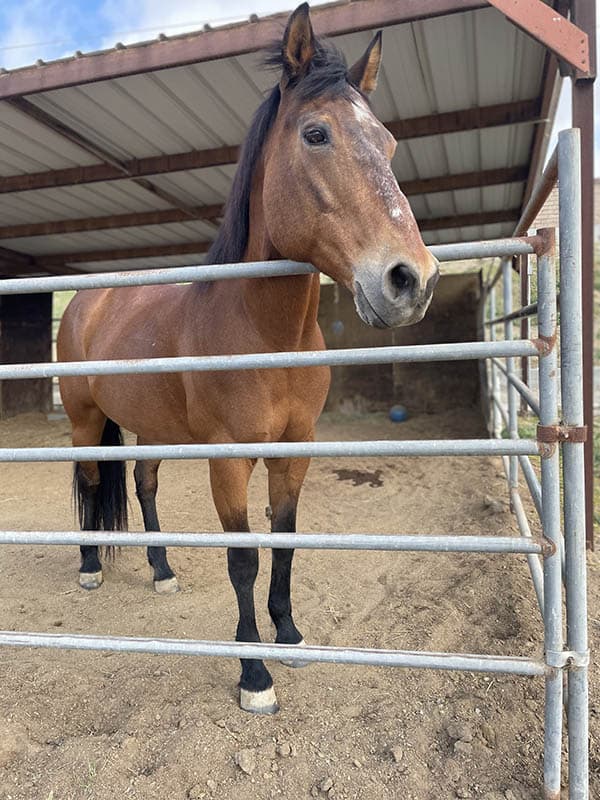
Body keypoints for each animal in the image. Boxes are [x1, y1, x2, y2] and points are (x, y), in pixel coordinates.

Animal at [57, 2, 439, 715]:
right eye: (316, 134)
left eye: (389, 144)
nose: (412, 280)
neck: (265, 333)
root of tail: (87, 301)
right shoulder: (229, 459)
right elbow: (243, 558)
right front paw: (253, 673)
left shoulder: (296, 449)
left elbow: (283, 543)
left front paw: (289, 636)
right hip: (84, 421)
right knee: (93, 481)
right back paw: (91, 568)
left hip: (150, 429)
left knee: (144, 486)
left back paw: (162, 571)